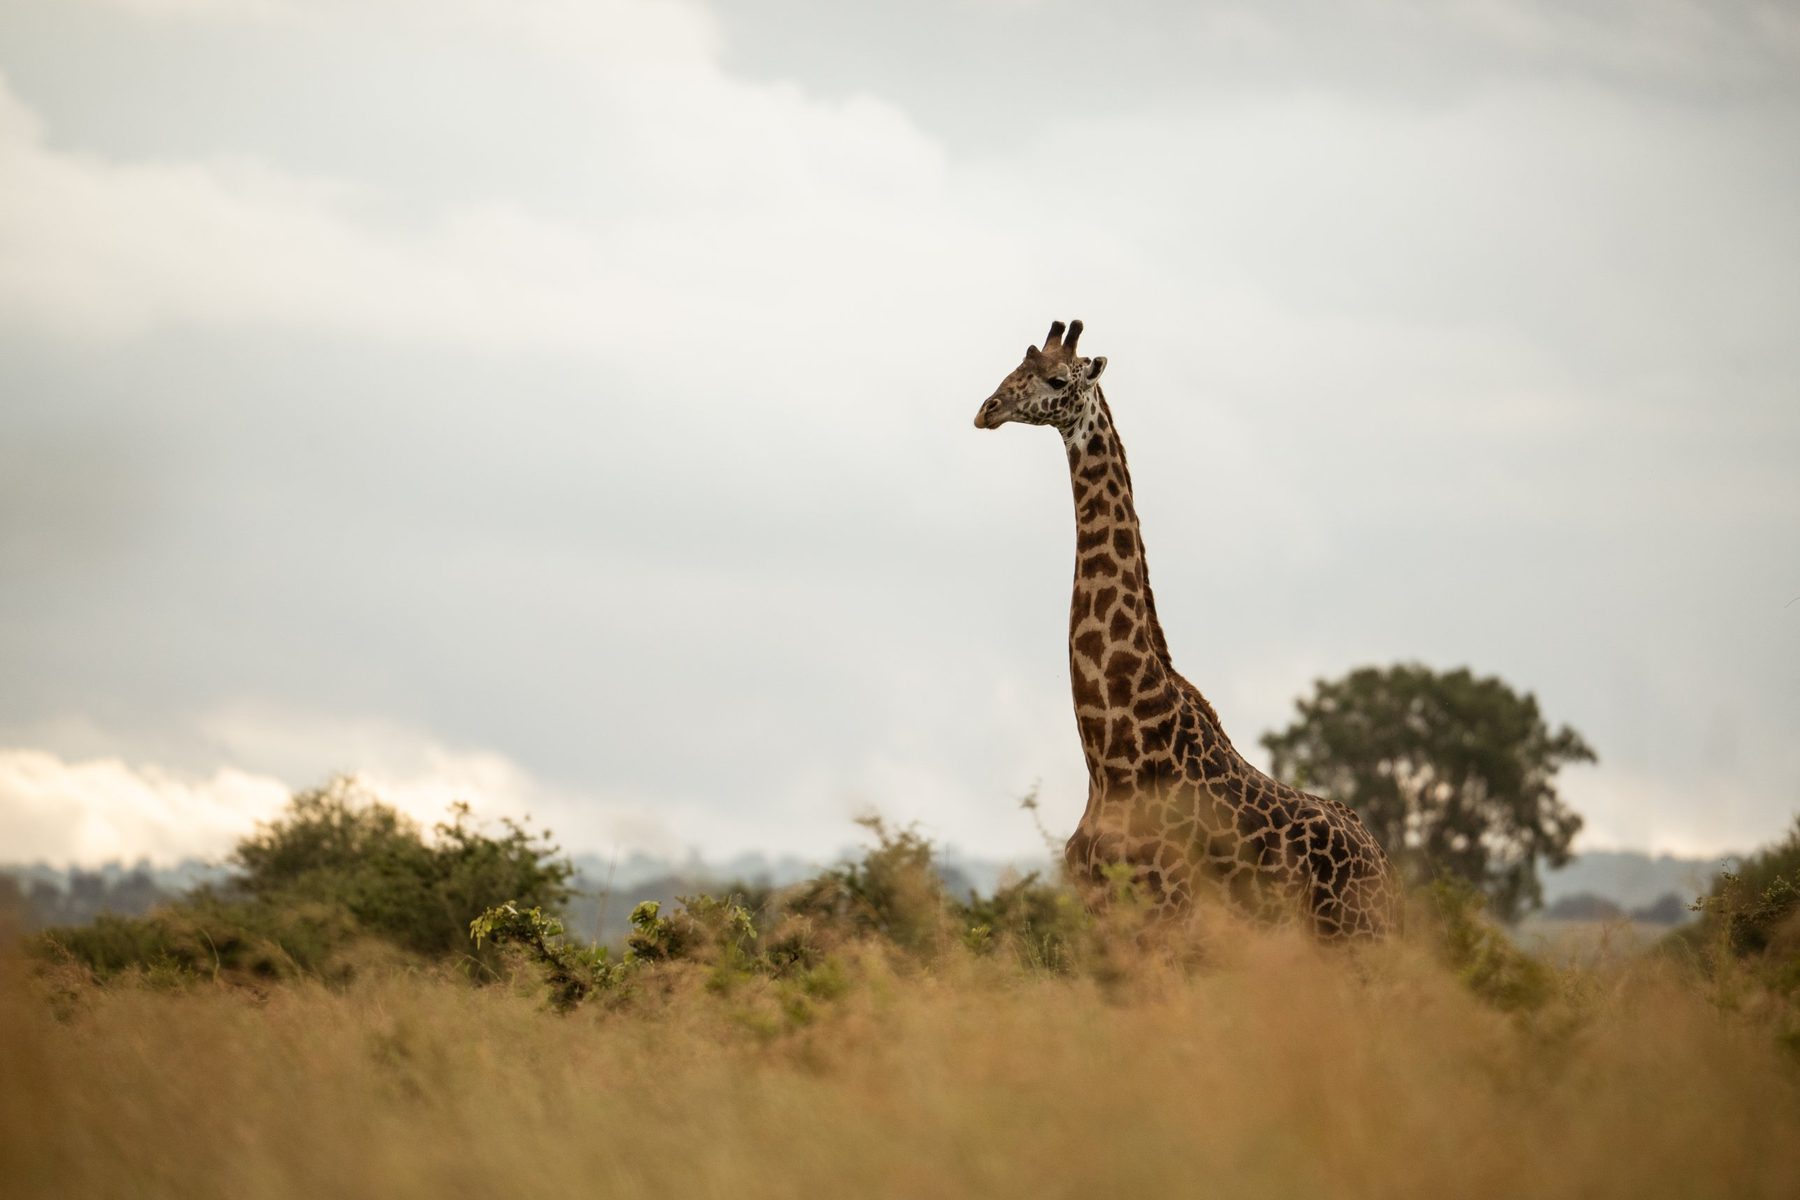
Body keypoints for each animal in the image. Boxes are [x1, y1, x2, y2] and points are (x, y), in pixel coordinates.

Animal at [973, 320, 1402, 941]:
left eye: (1055, 378)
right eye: (1014, 366)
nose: (988, 409)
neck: (1111, 755)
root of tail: (1386, 868)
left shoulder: (1166, 915)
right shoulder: (1105, 914)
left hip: (1352, 937)